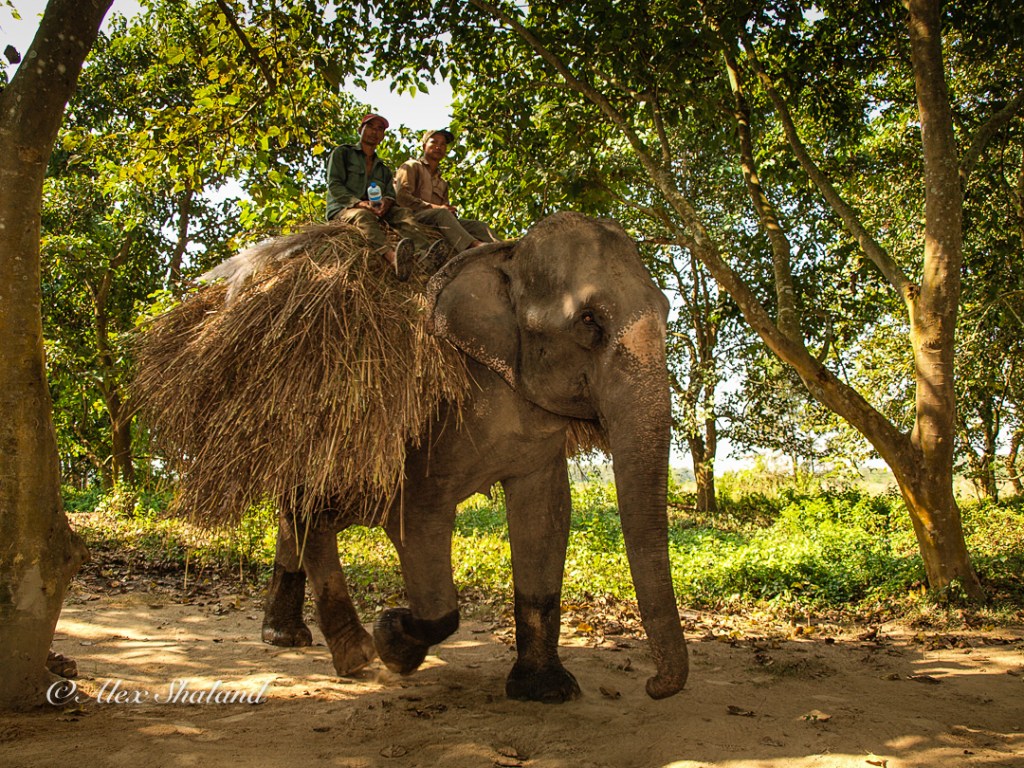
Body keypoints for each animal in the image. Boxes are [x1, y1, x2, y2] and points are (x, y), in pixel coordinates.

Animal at [259, 211, 689, 702]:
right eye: (588, 321)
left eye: (667, 310)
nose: (652, 685)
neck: (506, 258)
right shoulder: (430, 418)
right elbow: (415, 518)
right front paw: (392, 639)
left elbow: (546, 514)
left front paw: (545, 690)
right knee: (311, 512)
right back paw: (356, 656)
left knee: (300, 515)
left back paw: (287, 637)